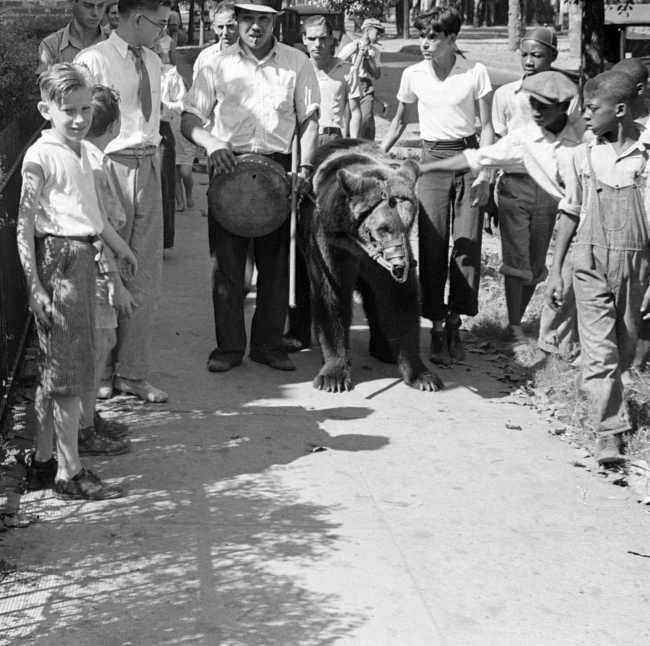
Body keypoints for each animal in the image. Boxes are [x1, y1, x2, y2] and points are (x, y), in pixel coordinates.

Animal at [298, 140, 440, 394]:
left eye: (409, 223)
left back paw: (384, 349)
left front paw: (423, 376)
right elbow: (331, 295)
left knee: (375, 299)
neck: (361, 246)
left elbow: (400, 299)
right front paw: (333, 376)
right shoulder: (333, 247)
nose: (400, 264)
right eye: (384, 228)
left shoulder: (384, 265)